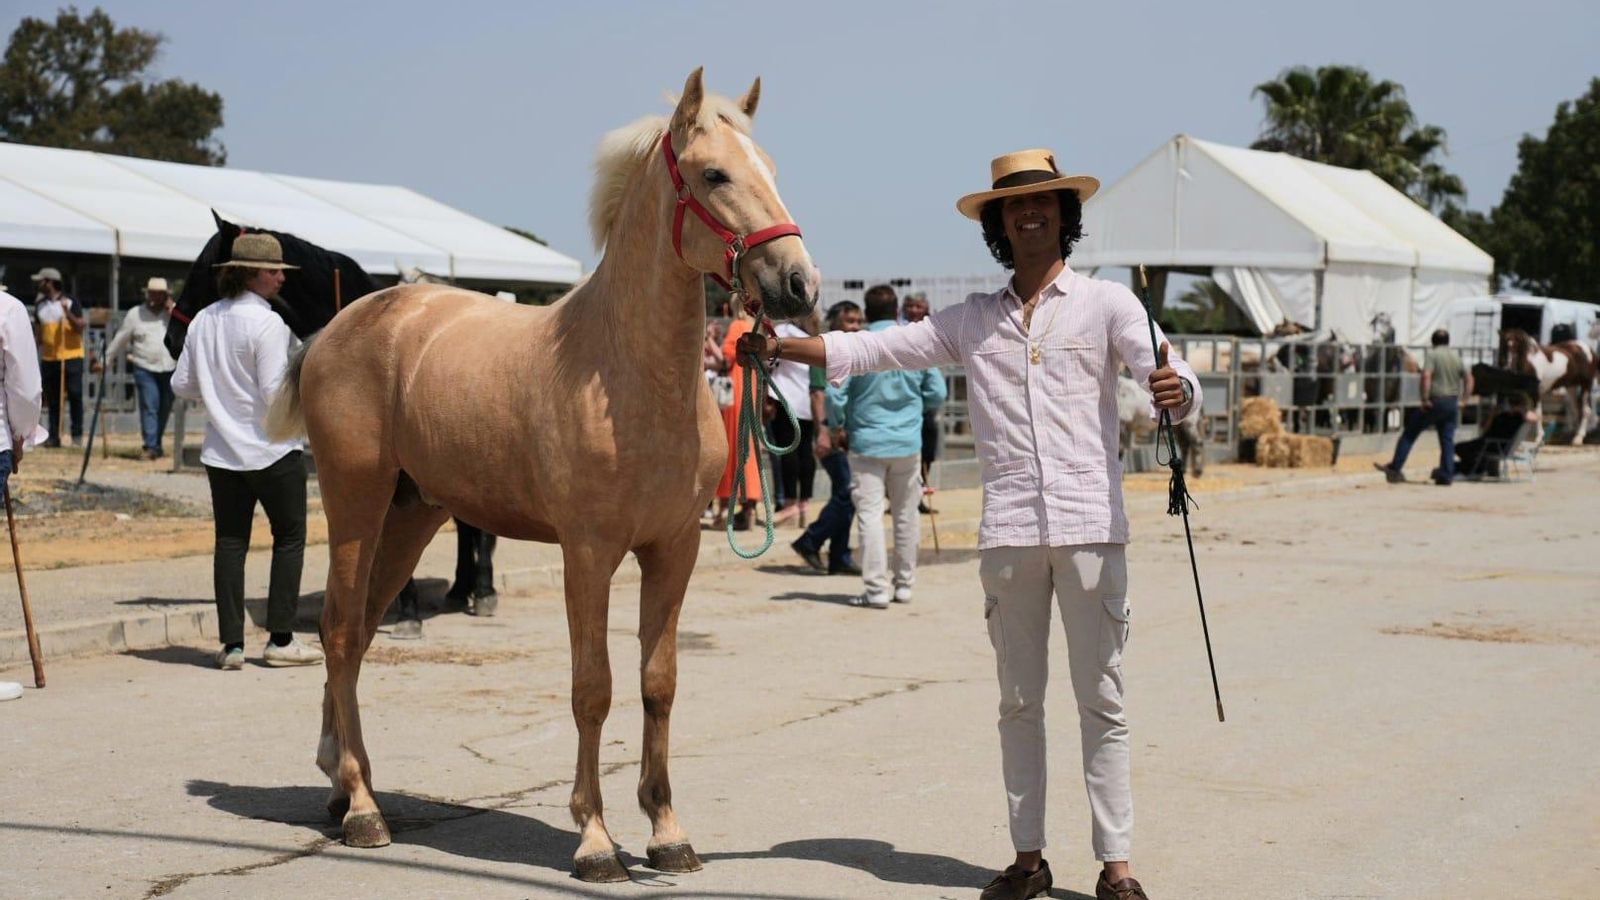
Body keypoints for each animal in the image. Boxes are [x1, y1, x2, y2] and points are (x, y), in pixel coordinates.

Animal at [263, 69, 818, 882]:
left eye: (773, 170)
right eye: (715, 174)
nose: (799, 284)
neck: (624, 374)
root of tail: (339, 325)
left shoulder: (674, 549)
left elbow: (659, 684)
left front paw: (667, 831)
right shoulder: (587, 554)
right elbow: (594, 689)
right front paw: (595, 842)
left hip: (412, 514)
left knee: (358, 636)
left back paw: (339, 785)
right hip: (356, 505)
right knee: (336, 632)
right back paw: (364, 809)